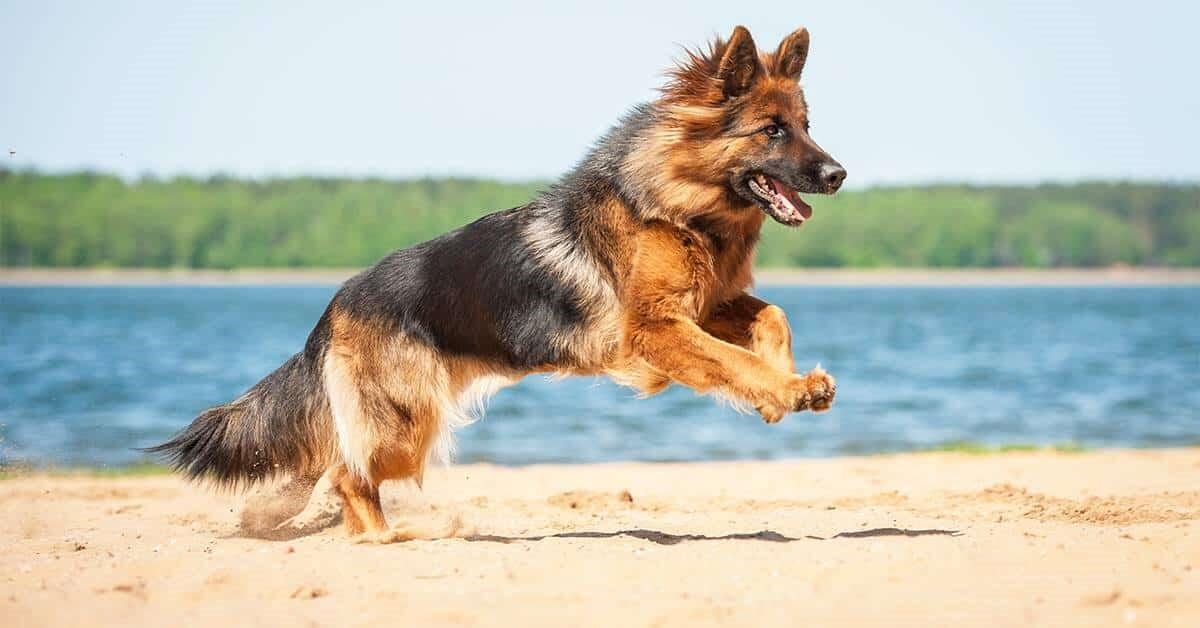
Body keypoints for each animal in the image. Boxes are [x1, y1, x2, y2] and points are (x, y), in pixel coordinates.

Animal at [150, 27, 844, 542]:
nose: (838, 174)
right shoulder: (657, 327)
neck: (682, 201)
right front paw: (784, 388)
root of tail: (334, 306)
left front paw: (784, 384)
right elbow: (730, 358)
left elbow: (771, 316)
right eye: (772, 131)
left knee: (330, 464)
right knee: (348, 473)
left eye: (808, 125)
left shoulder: (705, 305)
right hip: (406, 427)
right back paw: (383, 536)